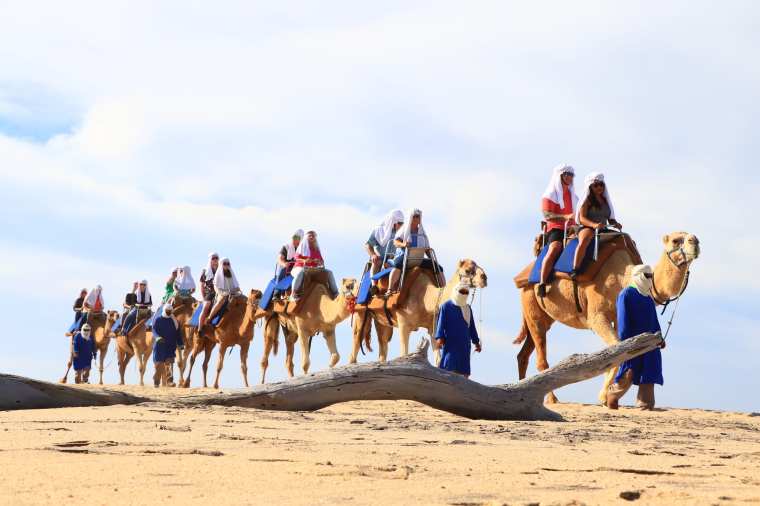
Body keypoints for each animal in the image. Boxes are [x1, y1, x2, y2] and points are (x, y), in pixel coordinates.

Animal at [349, 259, 488, 364]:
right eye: (467, 270)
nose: (484, 278)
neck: (425, 298)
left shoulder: (433, 327)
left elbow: (438, 360)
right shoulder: (404, 325)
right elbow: (404, 354)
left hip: (382, 322)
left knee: (383, 346)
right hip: (360, 314)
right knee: (355, 347)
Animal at [513, 231, 701, 404]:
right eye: (676, 240)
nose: (695, 241)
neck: (623, 278)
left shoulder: (618, 316)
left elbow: (620, 350)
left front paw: (610, 394)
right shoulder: (596, 316)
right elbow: (615, 349)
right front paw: (606, 396)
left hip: (542, 316)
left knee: (523, 354)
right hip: (532, 305)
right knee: (540, 357)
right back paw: (551, 399)